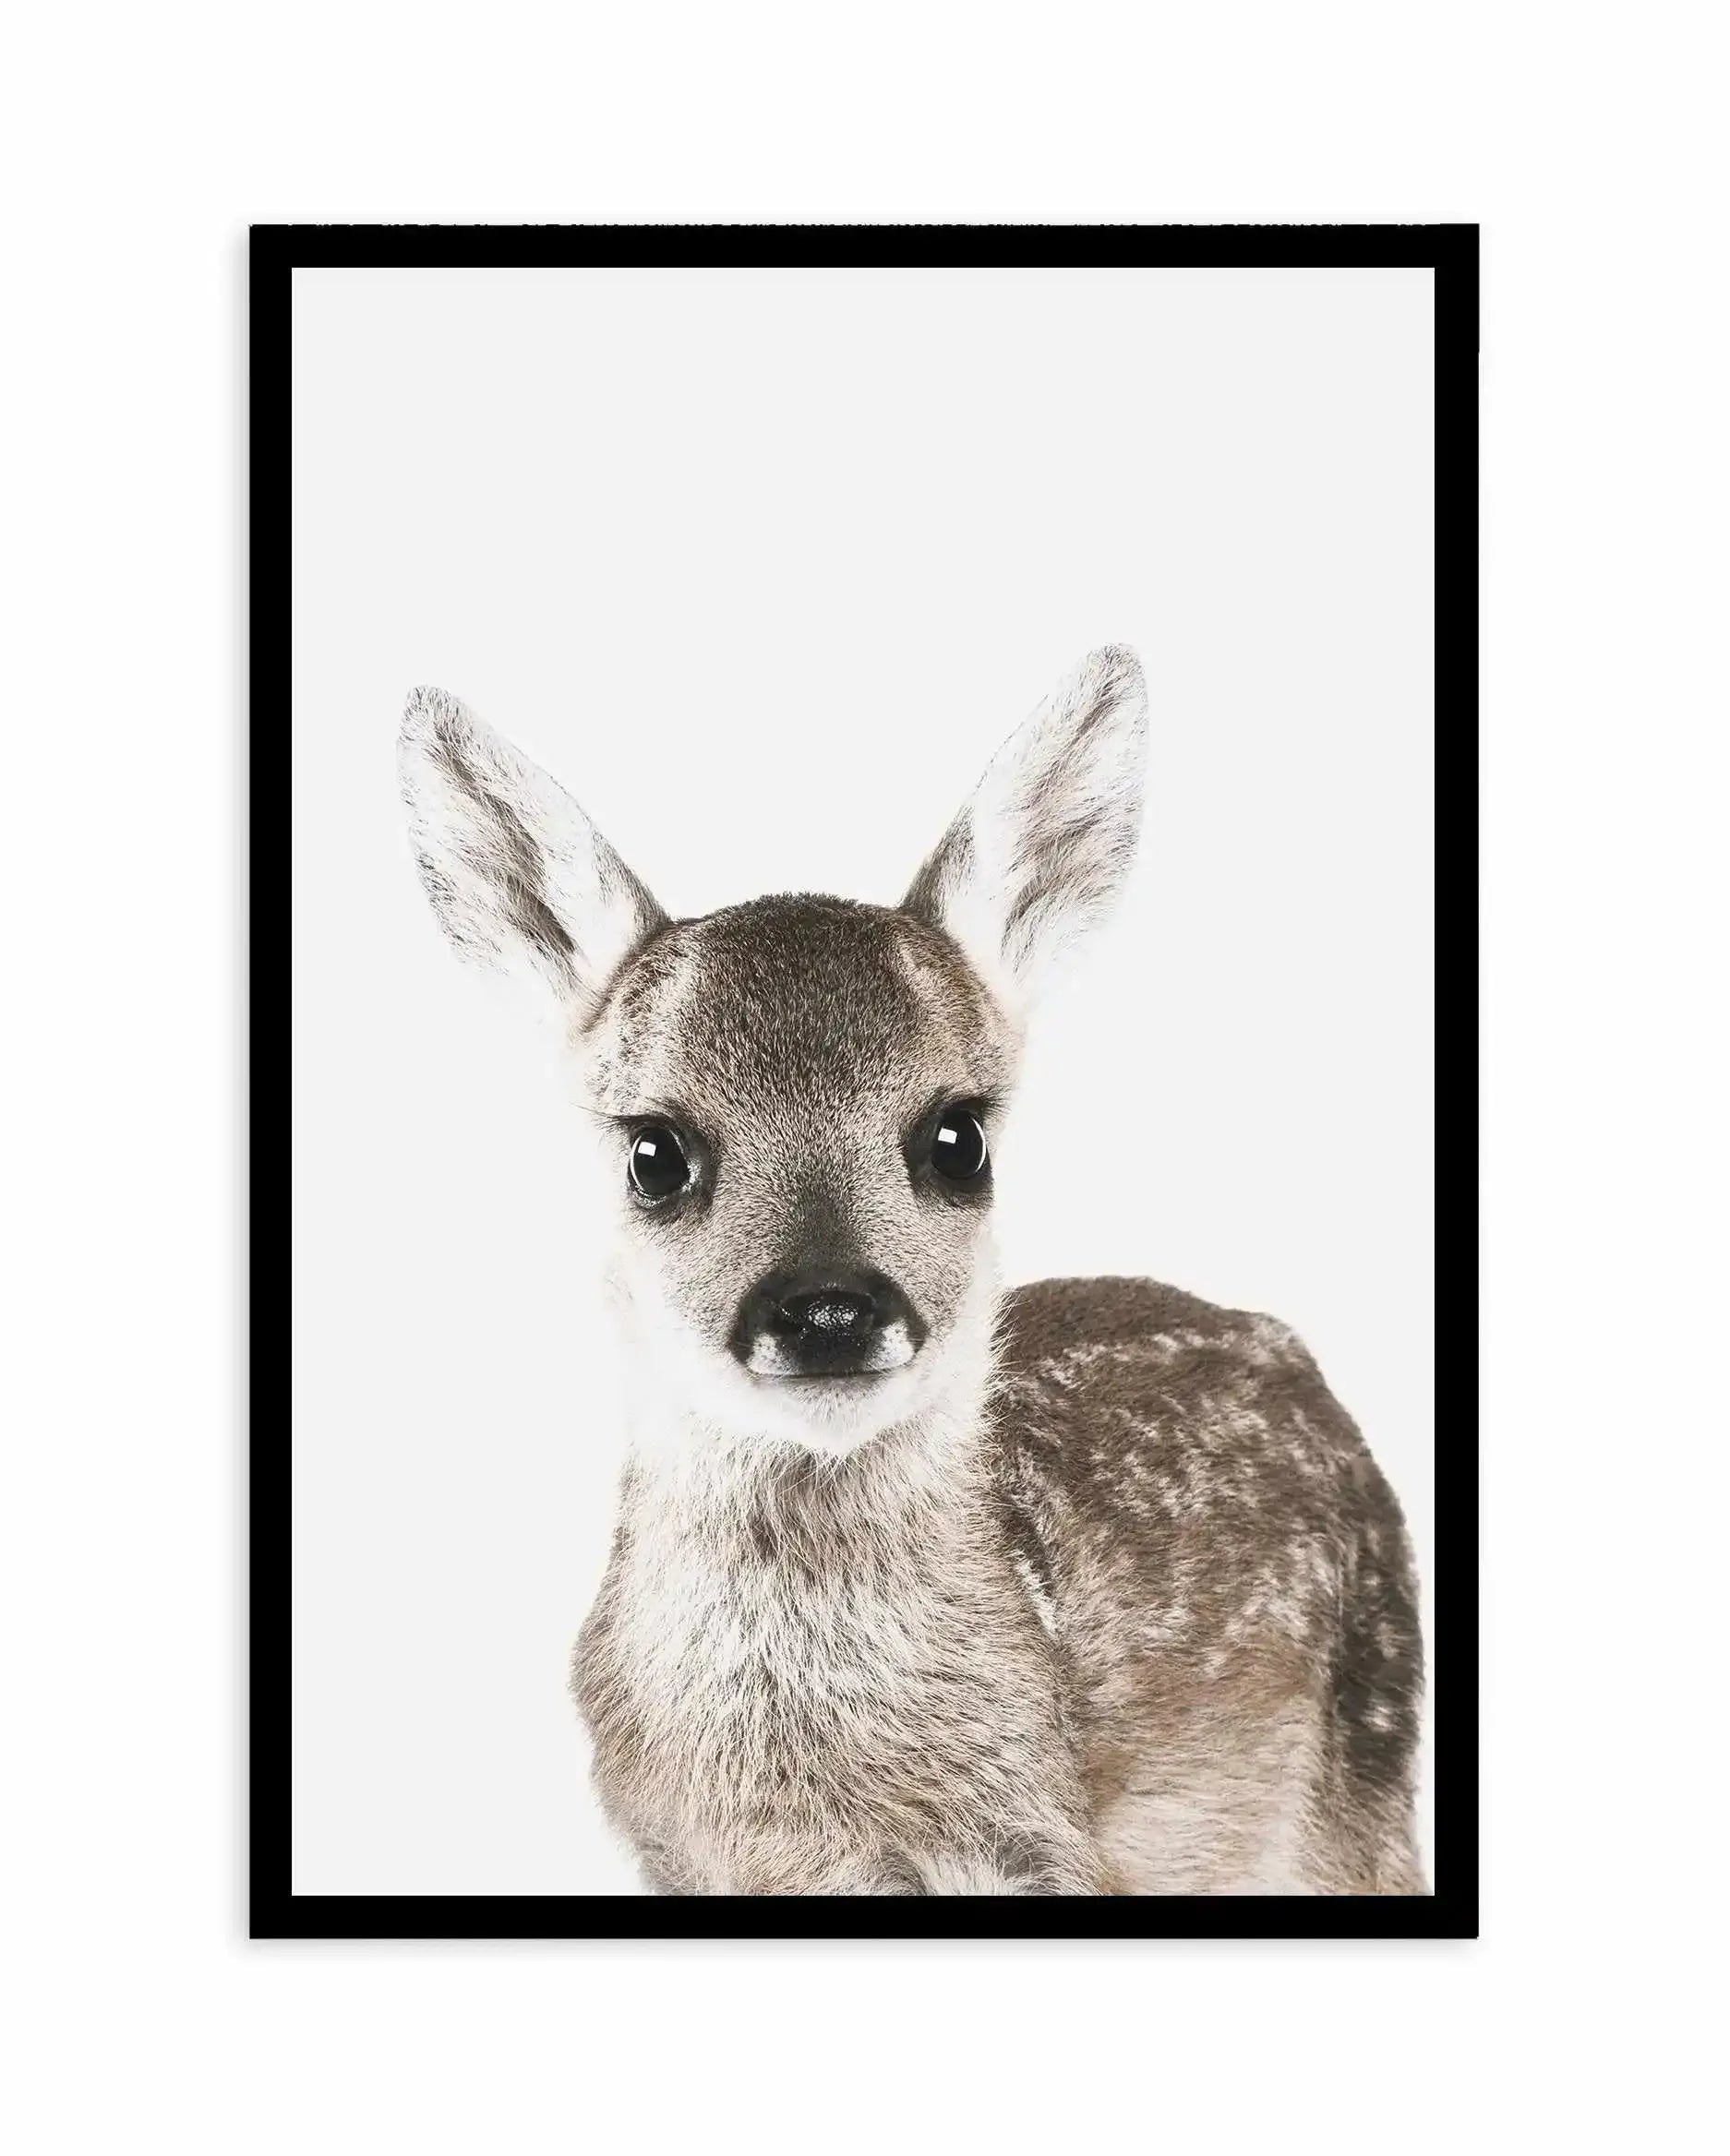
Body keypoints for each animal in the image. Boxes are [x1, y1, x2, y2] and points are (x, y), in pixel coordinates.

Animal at [398, 646, 1426, 1896]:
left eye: (957, 1136)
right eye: (653, 1152)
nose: (828, 1308)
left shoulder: (1042, 1840)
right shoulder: (670, 1851)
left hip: (1365, 1763)